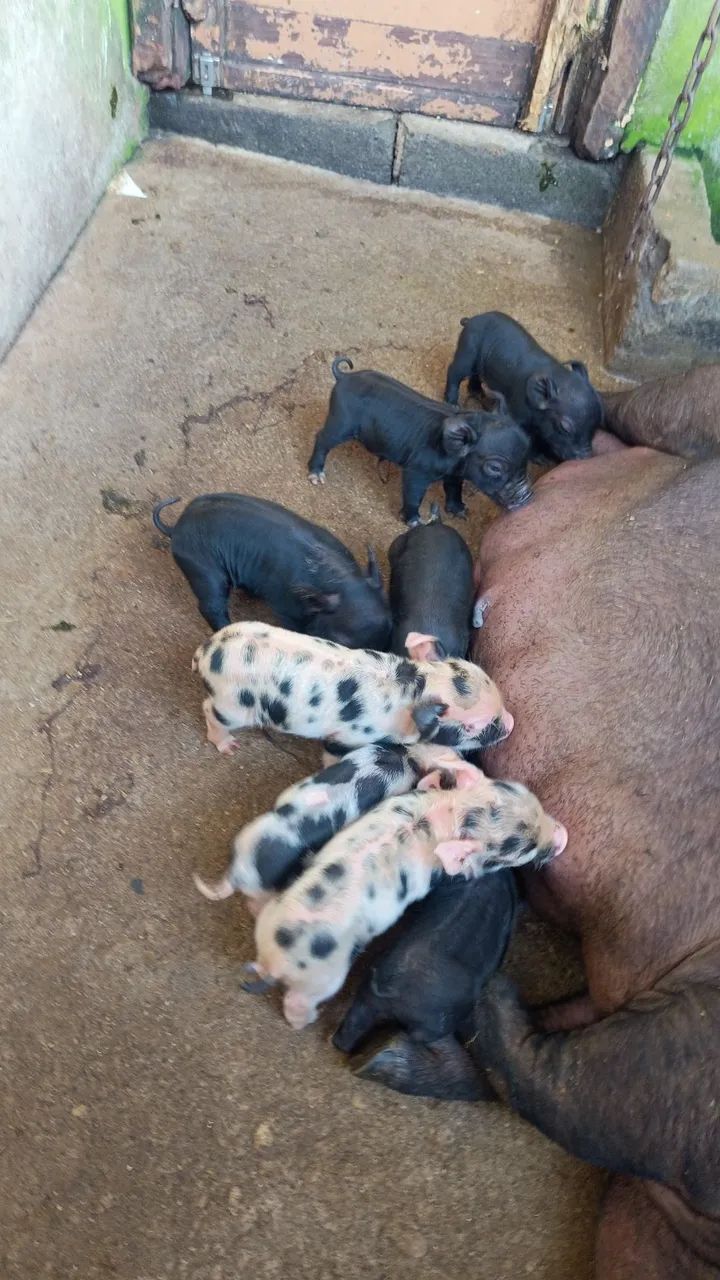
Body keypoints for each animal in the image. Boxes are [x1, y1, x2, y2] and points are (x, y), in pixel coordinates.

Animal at [152, 492, 390, 648]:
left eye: (389, 629)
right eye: (341, 641)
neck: (341, 581)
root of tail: (175, 528)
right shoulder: (284, 604)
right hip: (202, 569)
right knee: (211, 605)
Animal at [193, 620, 514, 757]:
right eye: (472, 727)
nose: (511, 723)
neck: (415, 687)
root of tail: (206, 652)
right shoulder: (350, 736)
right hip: (233, 705)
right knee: (208, 709)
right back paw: (228, 746)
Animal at [246, 779, 567, 1029]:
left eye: (536, 802)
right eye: (525, 849)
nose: (563, 836)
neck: (451, 813)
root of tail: (273, 960)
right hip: (325, 977)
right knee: (298, 1000)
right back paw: (306, 1022)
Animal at [307, 356, 533, 526]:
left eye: (525, 461)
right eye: (495, 468)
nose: (528, 496)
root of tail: (344, 377)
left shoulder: (454, 474)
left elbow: (453, 490)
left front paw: (462, 513)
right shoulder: (417, 468)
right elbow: (413, 492)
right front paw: (415, 522)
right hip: (341, 421)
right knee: (322, 438)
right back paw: (317, 476)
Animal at [444, 312, 603, 462]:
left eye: (597, 425)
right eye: (564, 428)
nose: (585, 457)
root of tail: (471, 320)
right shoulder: (516, 410)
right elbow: (528, 438)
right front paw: (540, 459)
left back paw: (479, 396)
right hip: (467, 351)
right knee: (454, 371)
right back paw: (453, 405)